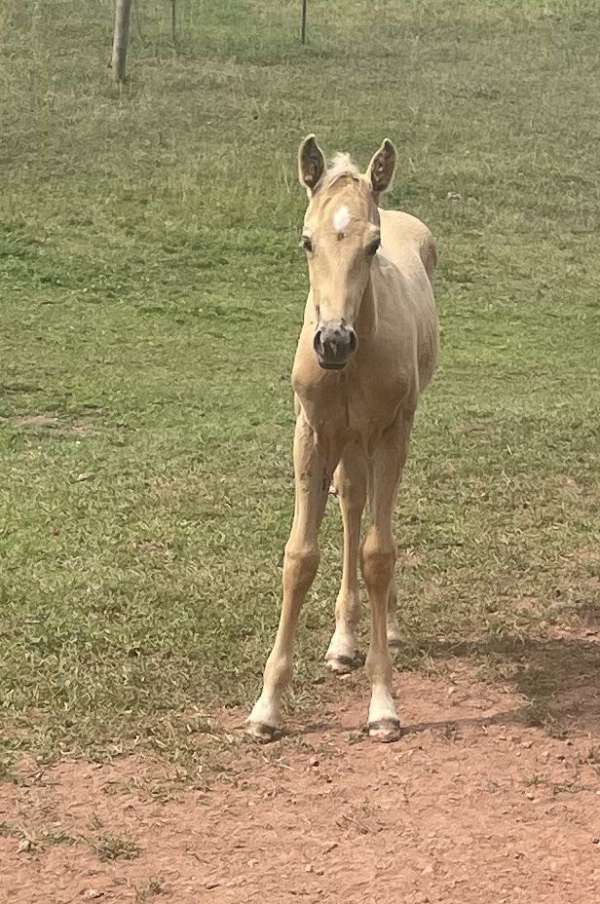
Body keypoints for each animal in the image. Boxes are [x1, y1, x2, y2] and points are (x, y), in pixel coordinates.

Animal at [247, 135, 439, 742]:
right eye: (306, 241)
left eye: (373, 245)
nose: (333, 341)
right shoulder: (312, 434)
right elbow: (299, 556)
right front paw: (267, 708)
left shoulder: (391, 431)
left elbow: (381, 553)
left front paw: (382, 705)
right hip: (347, 440)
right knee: (353, 501)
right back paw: (342, 643)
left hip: (382, 435)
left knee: (375, 516)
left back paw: (386, 629)